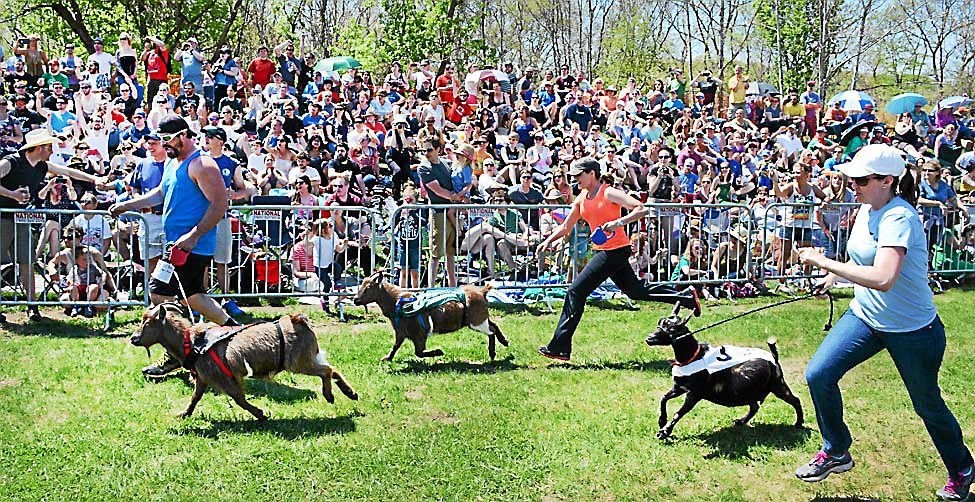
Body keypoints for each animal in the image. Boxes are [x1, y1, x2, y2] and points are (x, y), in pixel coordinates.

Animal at [130, 304, 358, 422]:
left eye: (147, 322)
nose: (133, 338)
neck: (191, 341)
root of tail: (298, 319)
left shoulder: (225, 377)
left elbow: (239, 399)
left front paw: (260, 414)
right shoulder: (203, 378)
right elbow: (195, 398)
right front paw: (183, 414)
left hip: (299, 362)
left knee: (327, 370)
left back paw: (330, 395)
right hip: (307, 358)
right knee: (332, 369)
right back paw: (350, 393)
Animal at [352, 272, 510, 362]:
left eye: (368, 288)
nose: (355, 300)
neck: (398, 301)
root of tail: (482, 291)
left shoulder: (419, 335)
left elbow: (419, 352)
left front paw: (438, 352)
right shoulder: (401, 332)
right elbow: (396, 346)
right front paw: (387, 358)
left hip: (476, 321)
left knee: (491, 331)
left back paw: (492, 353)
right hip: (480, 318)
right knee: (494, 325)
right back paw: (505, 342)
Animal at [648, 314, 800, 440]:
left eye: (672, 328)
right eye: (660, 322)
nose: (649, 338)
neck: (694, 356)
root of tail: (773, 357)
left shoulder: (694, 394)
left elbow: (679, 413)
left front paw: (664, 431)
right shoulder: (679, 387)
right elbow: (664, 398)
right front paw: (662, 421)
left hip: (777, 384)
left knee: (795, 400)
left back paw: (799, 423)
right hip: (750, 391)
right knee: (754, 406)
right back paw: (741, 421)